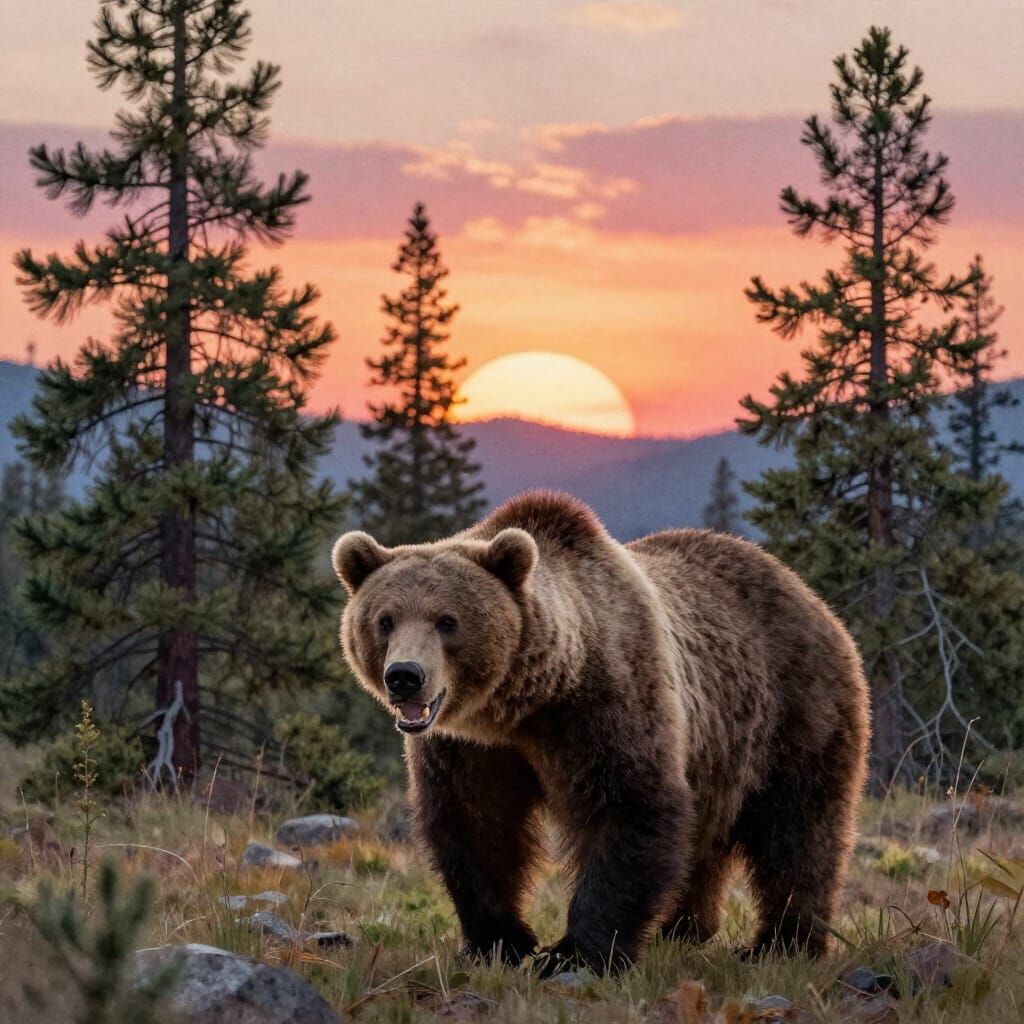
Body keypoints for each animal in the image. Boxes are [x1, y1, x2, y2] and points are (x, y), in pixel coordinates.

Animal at [332, 490, 870, 972]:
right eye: (385, 620)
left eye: (447, 620)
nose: (405, 676)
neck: (525, 705)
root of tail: (805, 591)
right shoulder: (468, 748)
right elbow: (475, 825)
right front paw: (497, 941)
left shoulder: (605, 704)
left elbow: (628, 808)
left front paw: (576, 954)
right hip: (720, 752)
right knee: (707, 839)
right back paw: (683, 928)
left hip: (796, 707)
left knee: (799, 827)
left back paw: (783, 943)